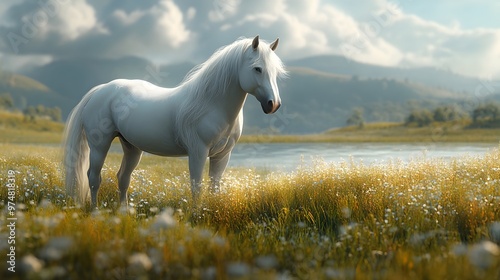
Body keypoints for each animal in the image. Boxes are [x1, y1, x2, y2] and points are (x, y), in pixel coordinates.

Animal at [63, 36, 286, 208]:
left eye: (275, 72)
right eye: (257, 69)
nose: (273, 104)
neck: (210, 104)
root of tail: (100, 90)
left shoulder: (222, 155)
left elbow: (214, 187)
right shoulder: (198, 152)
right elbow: (197, 187)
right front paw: (197, 215)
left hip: (131, 147)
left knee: (123, 178)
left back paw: (125, 212)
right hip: (99, 145)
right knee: (94, 178)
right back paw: (95, 210)